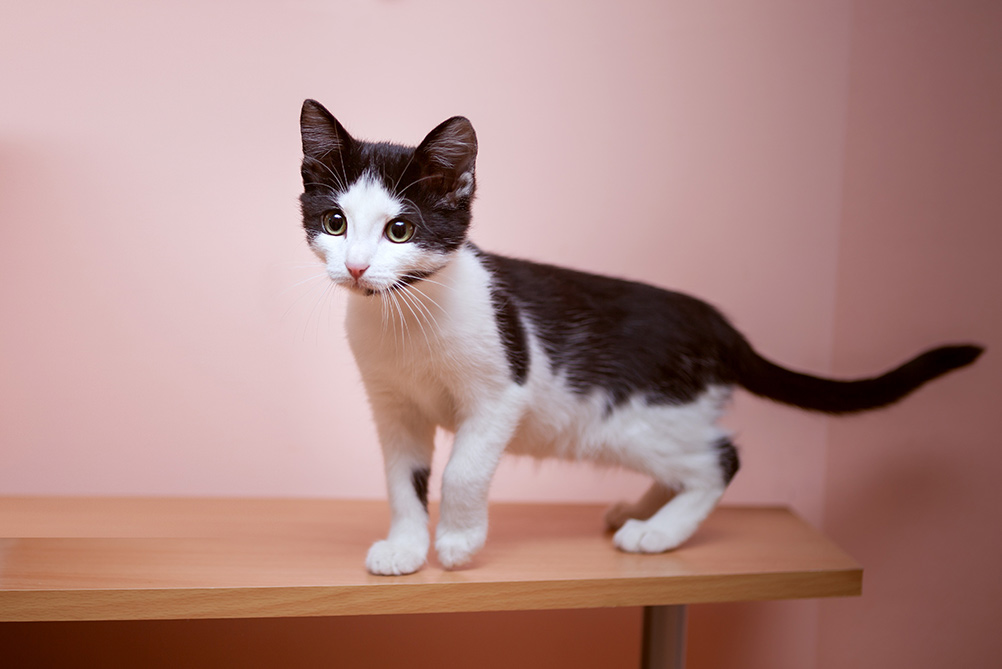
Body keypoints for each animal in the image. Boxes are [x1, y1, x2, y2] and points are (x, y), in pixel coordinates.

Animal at [296, 99, 985, 576]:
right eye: (335, 222)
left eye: (401, 230)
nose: (356, 268)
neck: (403, 316)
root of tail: (718, 323)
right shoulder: (394, 408)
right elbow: (402, 478)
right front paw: (407, 547)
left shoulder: (501, 393)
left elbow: (464, 468)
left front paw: (460, 541)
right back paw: (643, 510)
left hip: (637, 419)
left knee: (721, 459)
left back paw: (658, 531)